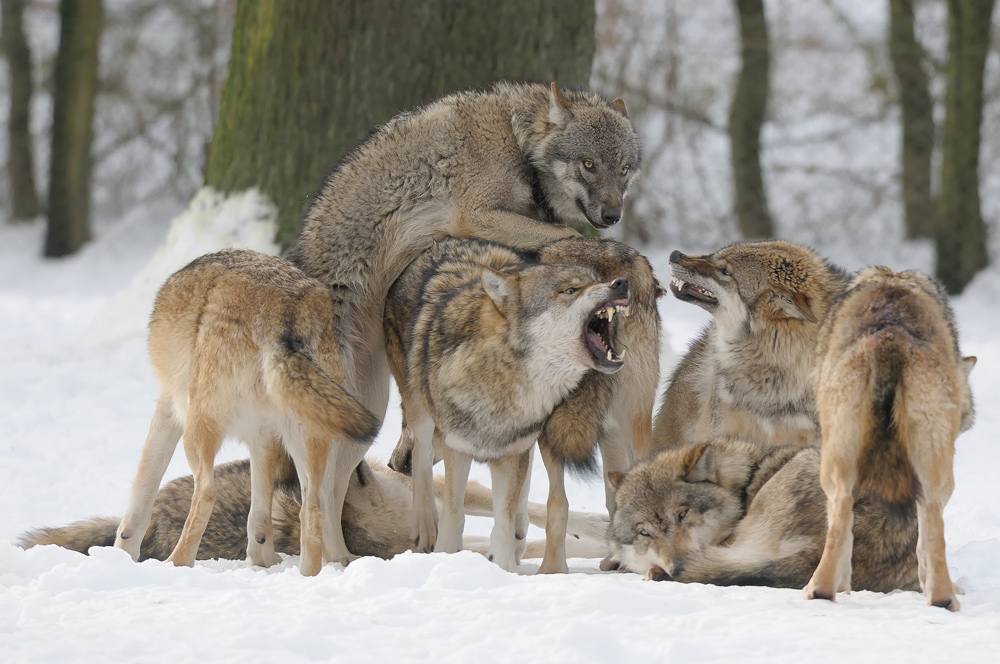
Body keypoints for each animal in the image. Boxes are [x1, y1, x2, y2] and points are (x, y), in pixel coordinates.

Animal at [113, 249, 379, 576]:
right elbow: (260, 519)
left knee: (206, 493)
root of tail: (287, 313)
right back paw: (306, 575)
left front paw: (121, 553)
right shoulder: (263, 436)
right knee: (313, 506)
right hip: (306, 440)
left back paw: (175, 564)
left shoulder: (169, 408)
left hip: (198, 430)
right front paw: (263, 559)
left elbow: (142, 493)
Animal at [284, 82, 641, 446]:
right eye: (589, 164)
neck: (517, 142)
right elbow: (567, 233)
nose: (613, 216)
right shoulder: (474, 216)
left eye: (624, 169)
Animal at [386, 236, 663, 574]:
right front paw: (450, 556)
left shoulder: (516, 446)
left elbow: (503, 514)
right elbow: (455, 512)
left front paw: (503, 563)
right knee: (424, 455)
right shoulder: (461, 445)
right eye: (570, 289)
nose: (619, 284)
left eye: (591, 283)